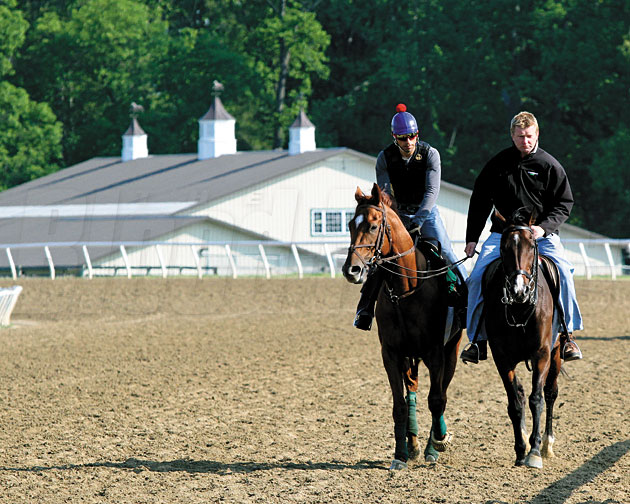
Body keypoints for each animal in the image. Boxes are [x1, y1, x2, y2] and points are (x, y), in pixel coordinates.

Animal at [344, 183, 462, 470]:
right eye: (351, 224)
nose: (351, 270)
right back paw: (413, 444)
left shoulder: (435, 353)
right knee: (412, 392)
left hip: (451, 350)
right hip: (411, 356)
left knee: (441, 393)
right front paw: (401, 454)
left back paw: (433, 441)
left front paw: (436, 445)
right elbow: (399, 404)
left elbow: (437, 400)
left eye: (373, 226)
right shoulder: (392, 353)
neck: (406, 291)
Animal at [486, 209, 564, 468]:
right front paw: (521, 450)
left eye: (532, 245)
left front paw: (535, 451)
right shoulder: (502, 358)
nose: (518, 290)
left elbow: (536, 399)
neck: (520, 309)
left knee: (550, 392)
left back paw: (548, 444)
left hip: (557, 353)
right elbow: (515, 403)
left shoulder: (542, 354)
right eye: (503, 247)